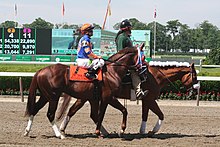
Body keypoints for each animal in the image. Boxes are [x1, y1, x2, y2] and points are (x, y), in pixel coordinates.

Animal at [57, 61, 199, 136]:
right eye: (195, 75)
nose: (196, 87)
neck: (156, 75)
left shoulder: (146, 100)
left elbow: (145, 115)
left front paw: (142, 131)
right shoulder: (150, 99)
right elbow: (161, 114)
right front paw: (153, 131)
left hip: (88, 97)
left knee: (77, 111)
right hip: (87, 97)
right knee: (76, 111)